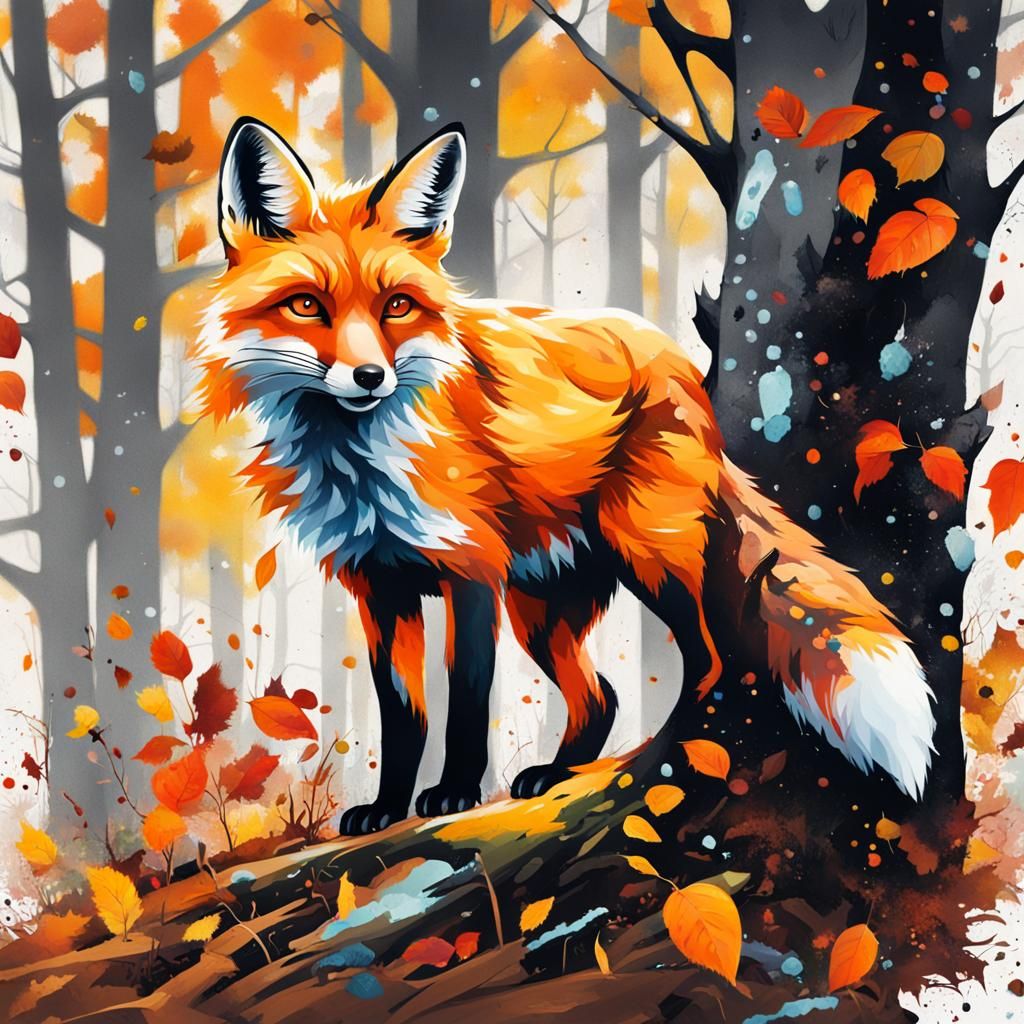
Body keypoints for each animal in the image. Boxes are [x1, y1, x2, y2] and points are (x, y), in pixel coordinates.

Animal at [197, 117, 936, 835]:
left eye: (397, 307)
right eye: (306, 306)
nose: (370, 376)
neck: (362, 465)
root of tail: (679, 363)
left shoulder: (471, 571)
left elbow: (466, 701)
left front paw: (454, 793)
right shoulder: (380, 587)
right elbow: (404, 716)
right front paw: (385, 810)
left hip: (645, 554)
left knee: (708, 656)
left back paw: (676, 753)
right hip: (543, 608)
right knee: (602, 696)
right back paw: (559, 774)